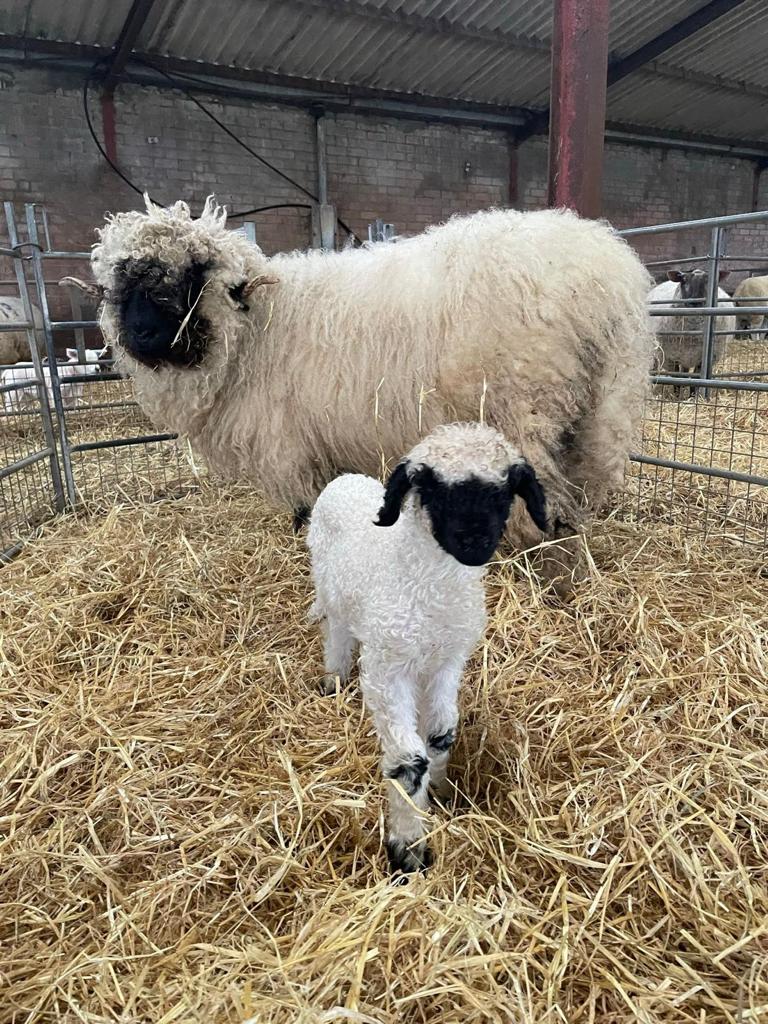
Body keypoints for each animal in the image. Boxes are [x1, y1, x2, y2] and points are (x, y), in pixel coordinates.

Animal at [91, 196, 656, 590]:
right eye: (121, 282)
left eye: (192, 275)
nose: (140, 335)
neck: (258, 330)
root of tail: (607, 280)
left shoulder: (290, 445)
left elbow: (306, 508)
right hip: (597, 415)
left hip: (525, 410)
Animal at [307, 421, 547, 874]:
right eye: (434, 490)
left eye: (504, 491)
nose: (474, 543)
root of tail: (347, 479)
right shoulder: (387, 671)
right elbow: (407, 760)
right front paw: (408, 848)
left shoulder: (447, 661)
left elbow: (441, 733)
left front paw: (440, 794)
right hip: (330, 586)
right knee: (337, 631)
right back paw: (333, 678)